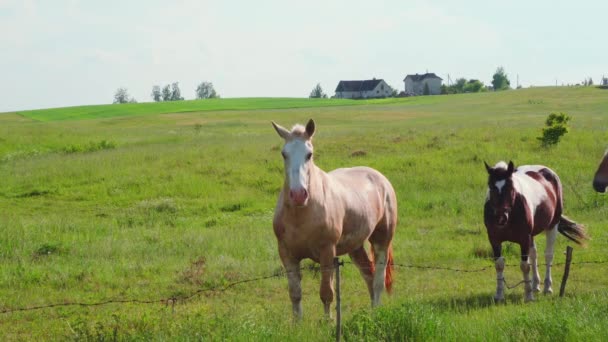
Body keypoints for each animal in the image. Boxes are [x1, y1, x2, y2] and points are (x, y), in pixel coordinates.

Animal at [272, 119, 400, 320]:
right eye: (284, 154)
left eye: (309, 154)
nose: (299, 195)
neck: (301, 216)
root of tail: (380, 178)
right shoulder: (287, 254)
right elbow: (295, 294)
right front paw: (297, 324)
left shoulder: (327, 252)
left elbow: (326, 293)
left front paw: (328, 322)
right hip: (355, 247)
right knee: (369, 276)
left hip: (382, 239)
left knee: (378, 279)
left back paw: (376, 312)